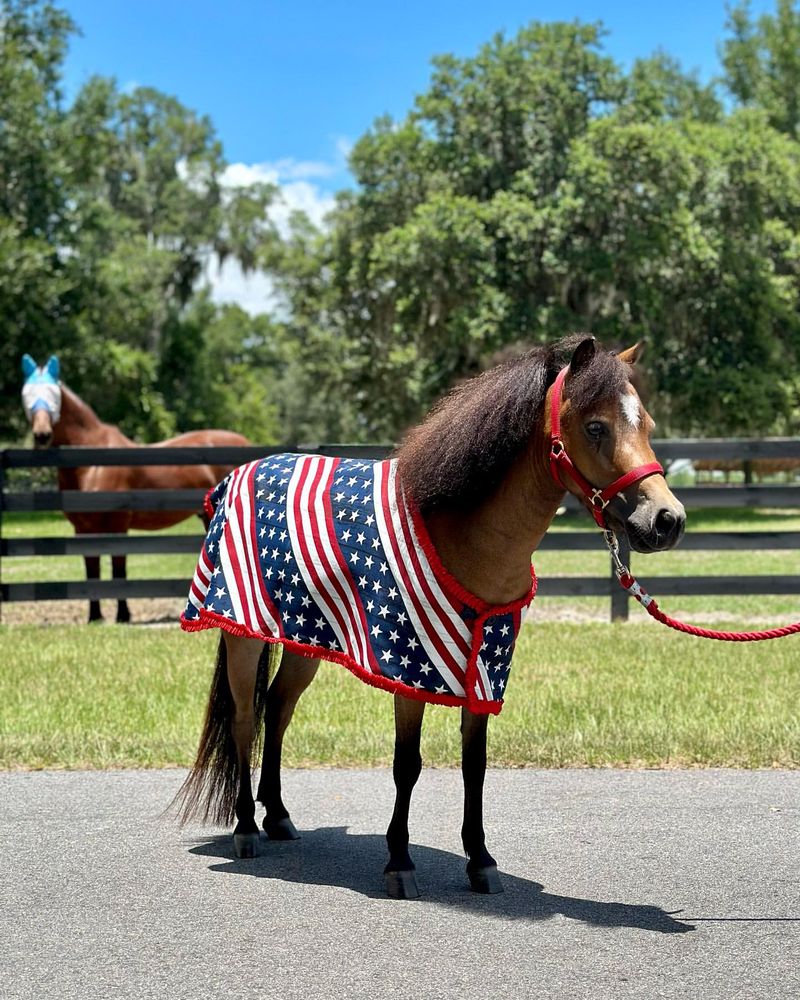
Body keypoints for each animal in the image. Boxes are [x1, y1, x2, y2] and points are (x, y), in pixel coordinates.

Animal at [21, 354, 250, 624]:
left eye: (54, 395)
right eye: (26, 394)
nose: (42, 435)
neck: (92, 463)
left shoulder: (117, 525)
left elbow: (119, 570)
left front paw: (122, 615)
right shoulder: (83, 529)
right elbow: (91, 570)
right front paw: (95, 617)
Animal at [177, 336, 688, 900]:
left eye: (646, 425)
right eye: (596, 427)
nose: (667, 521)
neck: (465, 534)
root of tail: (234, 479)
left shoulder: (483, 669)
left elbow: (475, 765)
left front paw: (480, 860)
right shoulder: (409, 670)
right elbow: (408, 765)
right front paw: (399, 862)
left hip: (302, 641)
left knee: (277, 708)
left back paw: (279, 817)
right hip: (243, 639)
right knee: (245, 721)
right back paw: (247, 827)